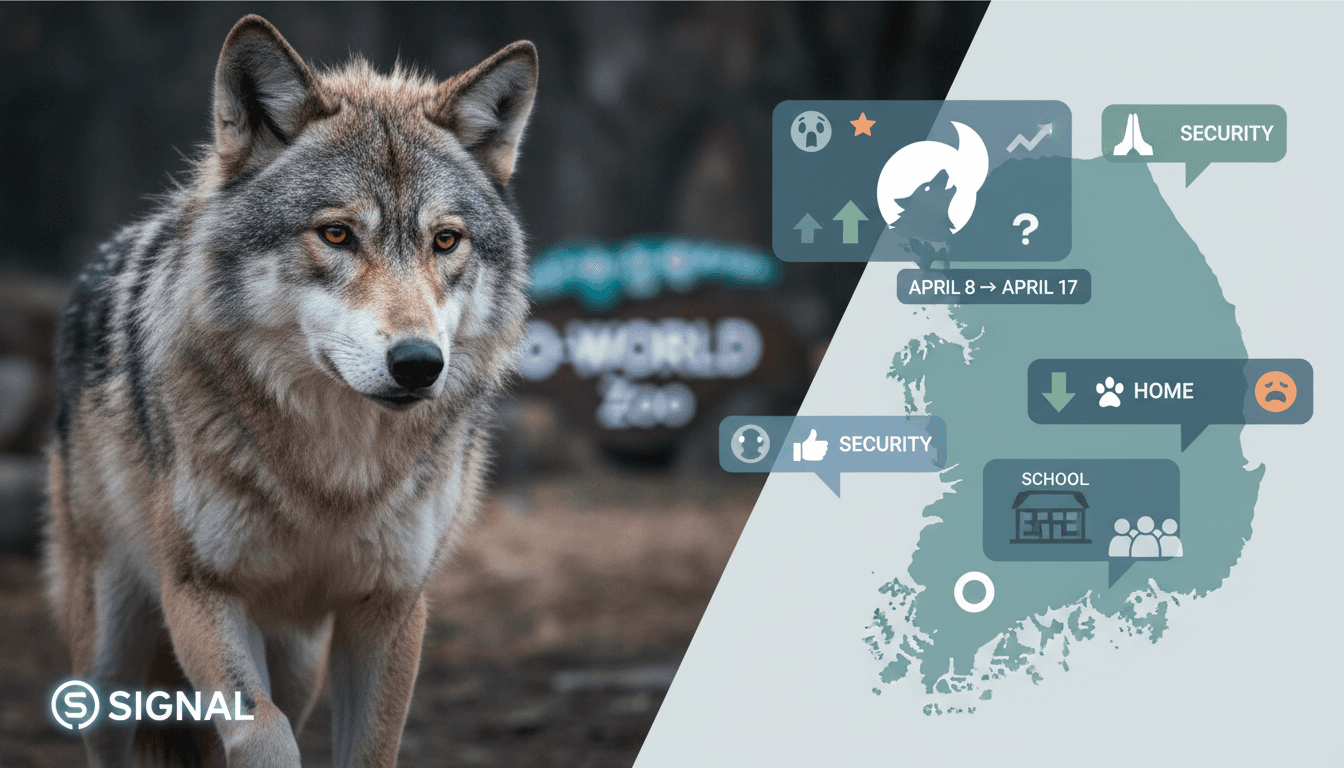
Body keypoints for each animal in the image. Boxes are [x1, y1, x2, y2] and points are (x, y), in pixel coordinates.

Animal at [44, 15, 537, 767]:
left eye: (446, 241)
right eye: (336, 233)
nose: (419, 363)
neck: (333, 476)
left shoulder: (390, 607)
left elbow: (368, 748)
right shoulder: (199, 591)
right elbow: (260, 730)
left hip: (299, 660)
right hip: (106, 662)